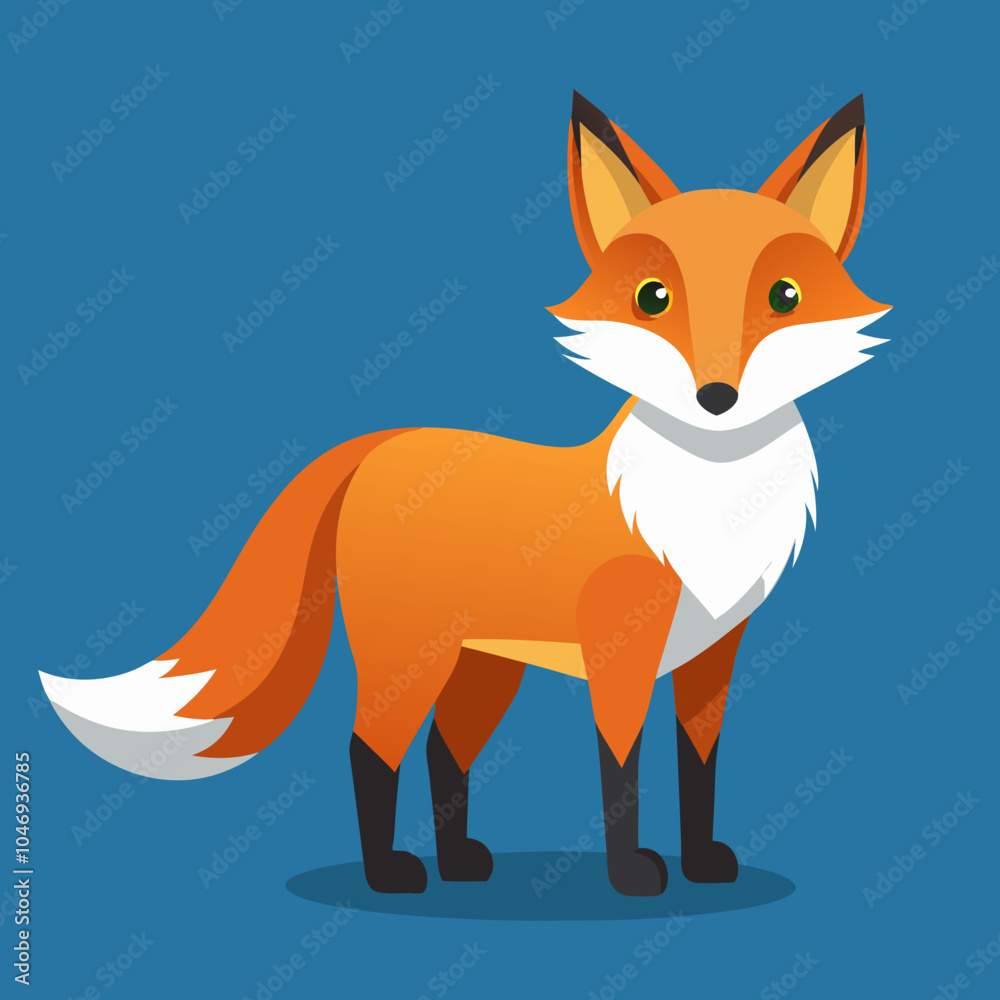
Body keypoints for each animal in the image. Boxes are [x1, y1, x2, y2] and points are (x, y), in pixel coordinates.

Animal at [40, 92, 890, 897]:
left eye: (784, 296)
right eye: (652, 298)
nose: (718, 398)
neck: (713, 504)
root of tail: (381, 445)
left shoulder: (714, 650)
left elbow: (700, 764)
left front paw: (705, 861)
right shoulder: (619, 652)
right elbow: (621, 766)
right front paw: (632, 876)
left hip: (482, 668)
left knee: (443, 751)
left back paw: (457, 863)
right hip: (407, 658)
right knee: (370, 748)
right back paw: (390, 874)